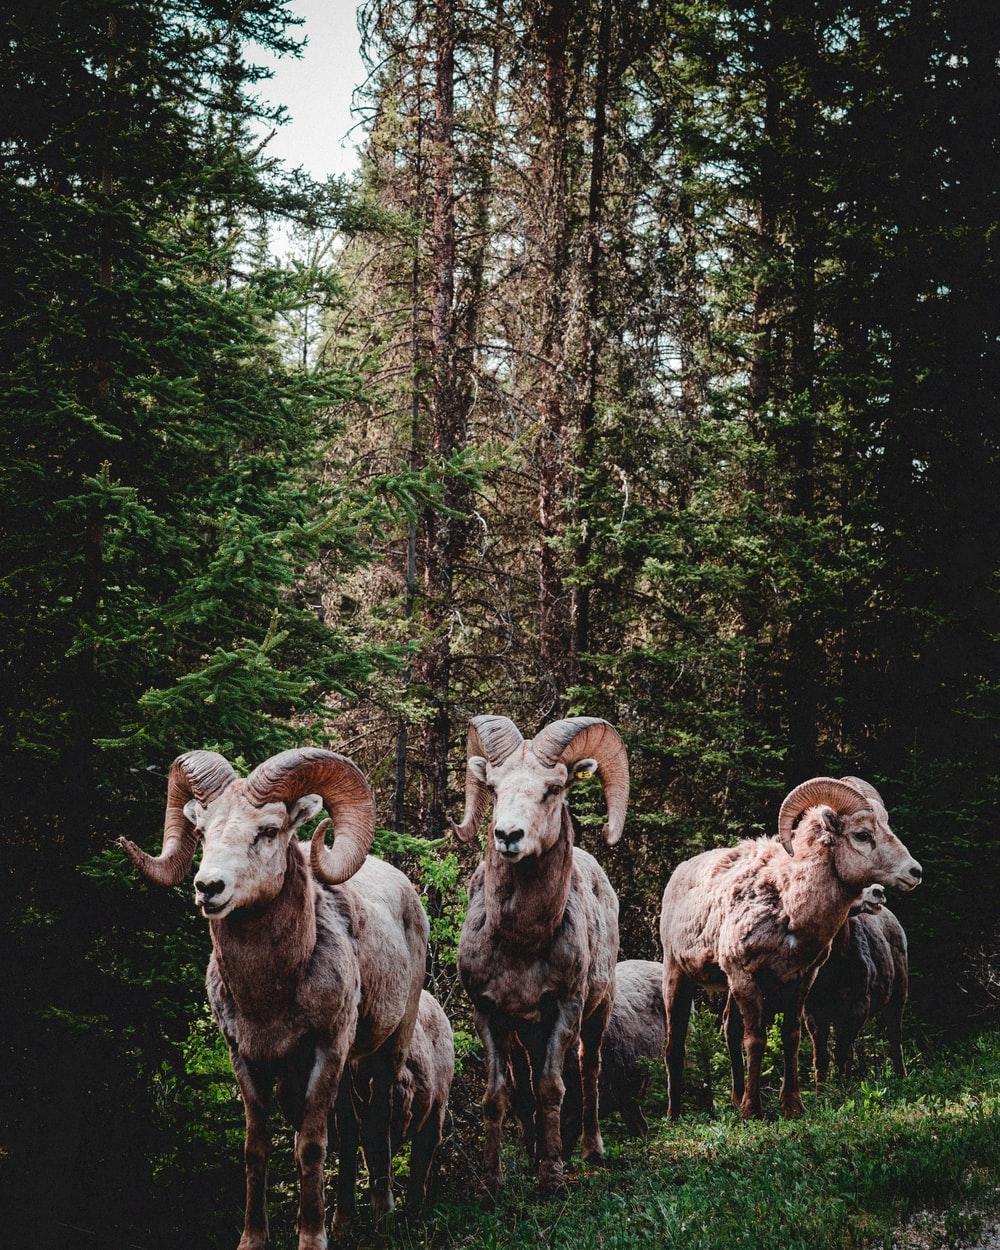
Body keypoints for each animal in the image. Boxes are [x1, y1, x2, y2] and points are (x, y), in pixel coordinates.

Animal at [119, 748, 429, 1250]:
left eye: (267, 831)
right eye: (202, 832)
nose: (208, 888)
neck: (268, 998)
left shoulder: (326, 1050)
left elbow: (310, 1146)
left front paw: (312, 1238)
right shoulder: (245, 1058)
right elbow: (257, 1148)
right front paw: (253, 1239)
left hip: (388, 1048)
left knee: (375, 1120)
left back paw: (383, 1215)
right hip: (343, 1069)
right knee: (349, 1129)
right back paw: (345, 1222)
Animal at [451, 715, 629, 1196]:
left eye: (553, 788)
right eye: (494, 788)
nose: (508, 836)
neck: (521, 945)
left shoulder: (565, 1008)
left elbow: (552, 1087)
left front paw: (551, 1176)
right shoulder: (490, 1014)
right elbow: (500, 1094)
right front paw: (492, 1182)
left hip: (597, 1012)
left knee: (588, 1070)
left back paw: (590, 1150)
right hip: (524, 1034)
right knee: (525, 1083)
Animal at [804, 884, 909, 1086]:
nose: (878, 891)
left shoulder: (857, 1005)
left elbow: (842, 1054)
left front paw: (842, 1089)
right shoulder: (813, 1012)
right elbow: (821, 1058)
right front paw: (821, 1091)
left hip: (898, 994)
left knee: (895, 1038)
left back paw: (902, 1077)